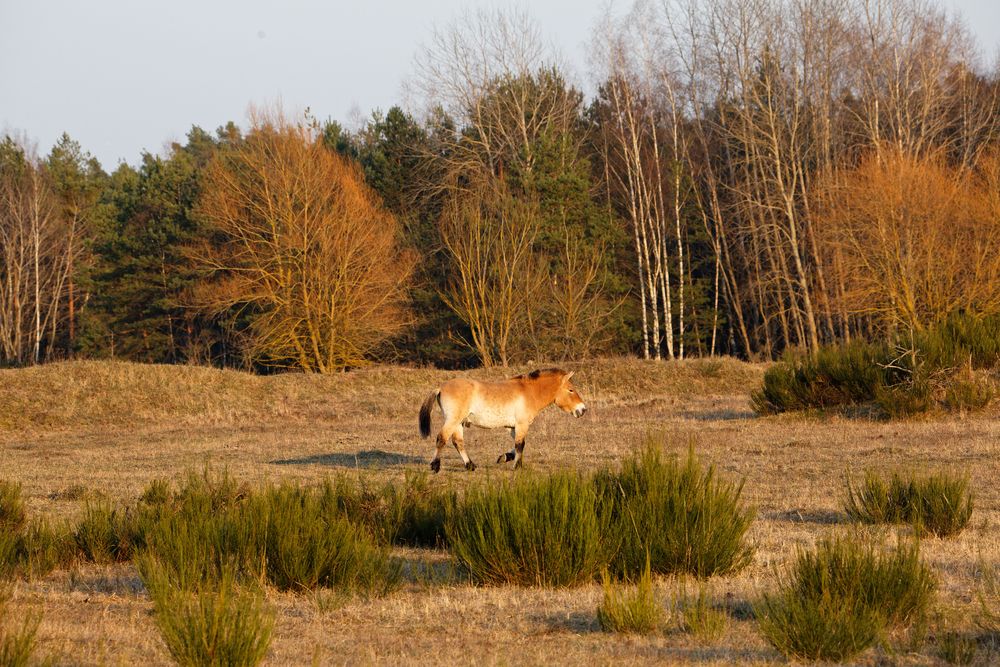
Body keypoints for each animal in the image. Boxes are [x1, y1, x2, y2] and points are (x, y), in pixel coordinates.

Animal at [418, 368, 588, 472]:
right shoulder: (521, 425)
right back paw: (435, 466)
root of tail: (440, 388)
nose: (583, 410)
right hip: (453, 420)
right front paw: (517, 466)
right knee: (441, 438)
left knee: (457, 442)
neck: (529, 392)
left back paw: (470, 465)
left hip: (459, 423)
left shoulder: (513, 427)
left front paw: (504, 457)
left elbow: (517, 445)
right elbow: (521, 445)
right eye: (571, 390)